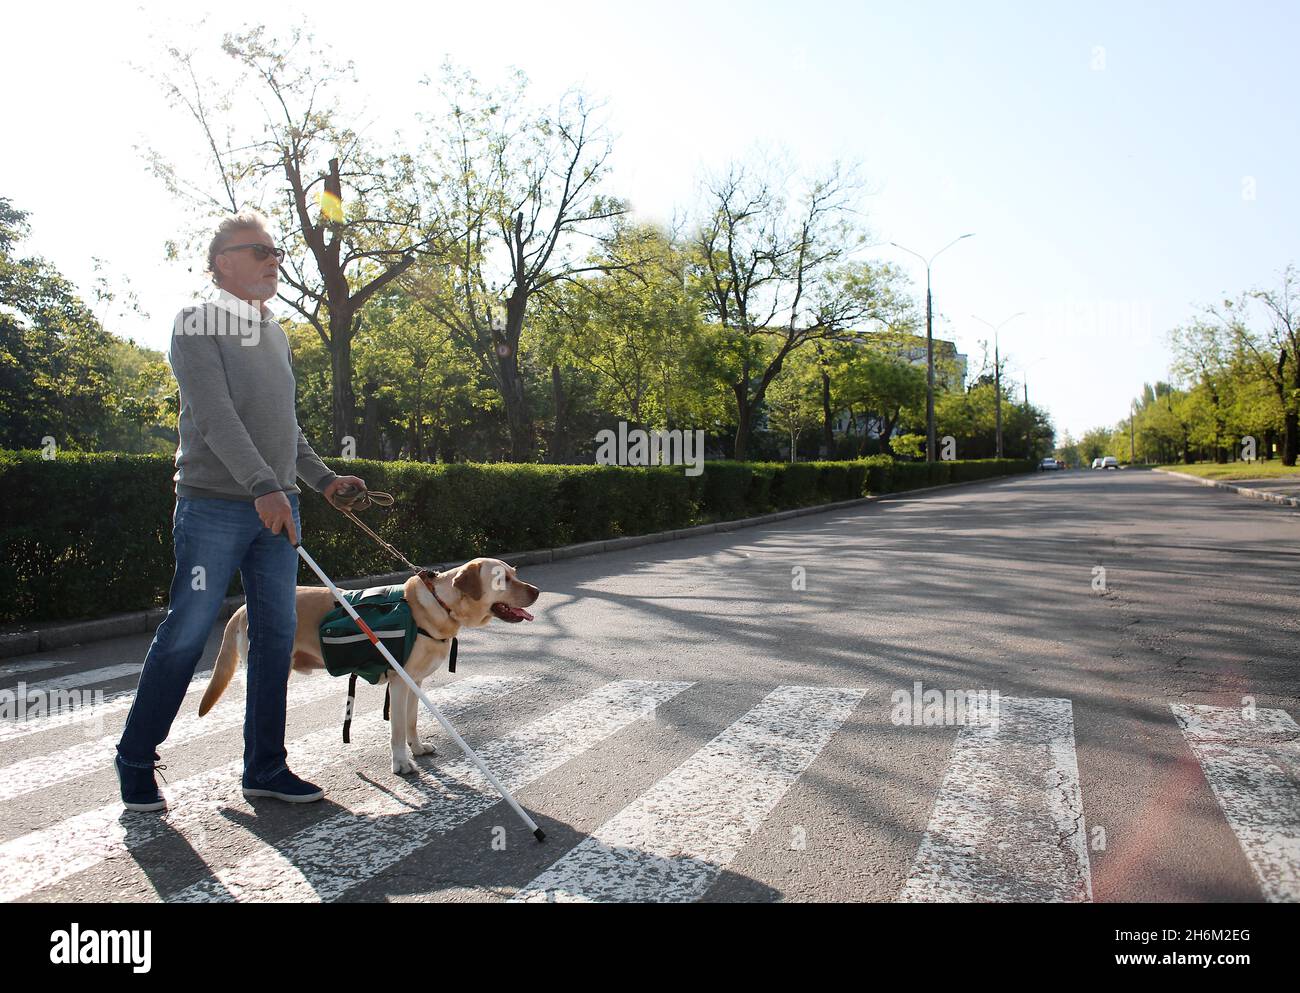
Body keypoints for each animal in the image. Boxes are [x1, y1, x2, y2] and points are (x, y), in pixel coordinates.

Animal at [196, 558, 538, 774]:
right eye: (503, 578)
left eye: (515, 572)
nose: (535, 591)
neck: (443, 606)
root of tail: (242, 609)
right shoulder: (399, 683)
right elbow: (397, 729)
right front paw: (401, 763)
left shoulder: (415, 683)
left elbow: (412, 722)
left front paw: (417, 748)